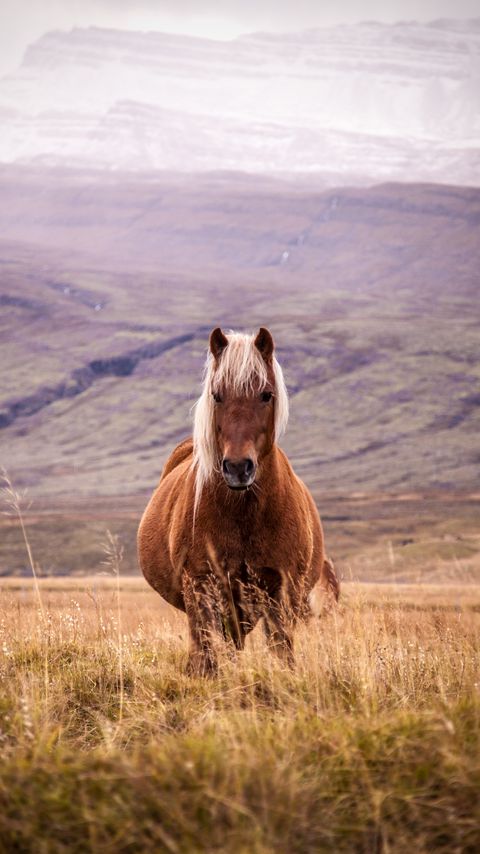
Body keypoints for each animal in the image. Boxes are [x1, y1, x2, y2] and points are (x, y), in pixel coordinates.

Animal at [138, 326, 339, 674]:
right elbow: (206, 656)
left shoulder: (280, 590)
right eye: (217, 395)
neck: (244, 513)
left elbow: (282, 652)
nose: (237, 467)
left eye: (266, 394)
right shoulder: (202, 585)